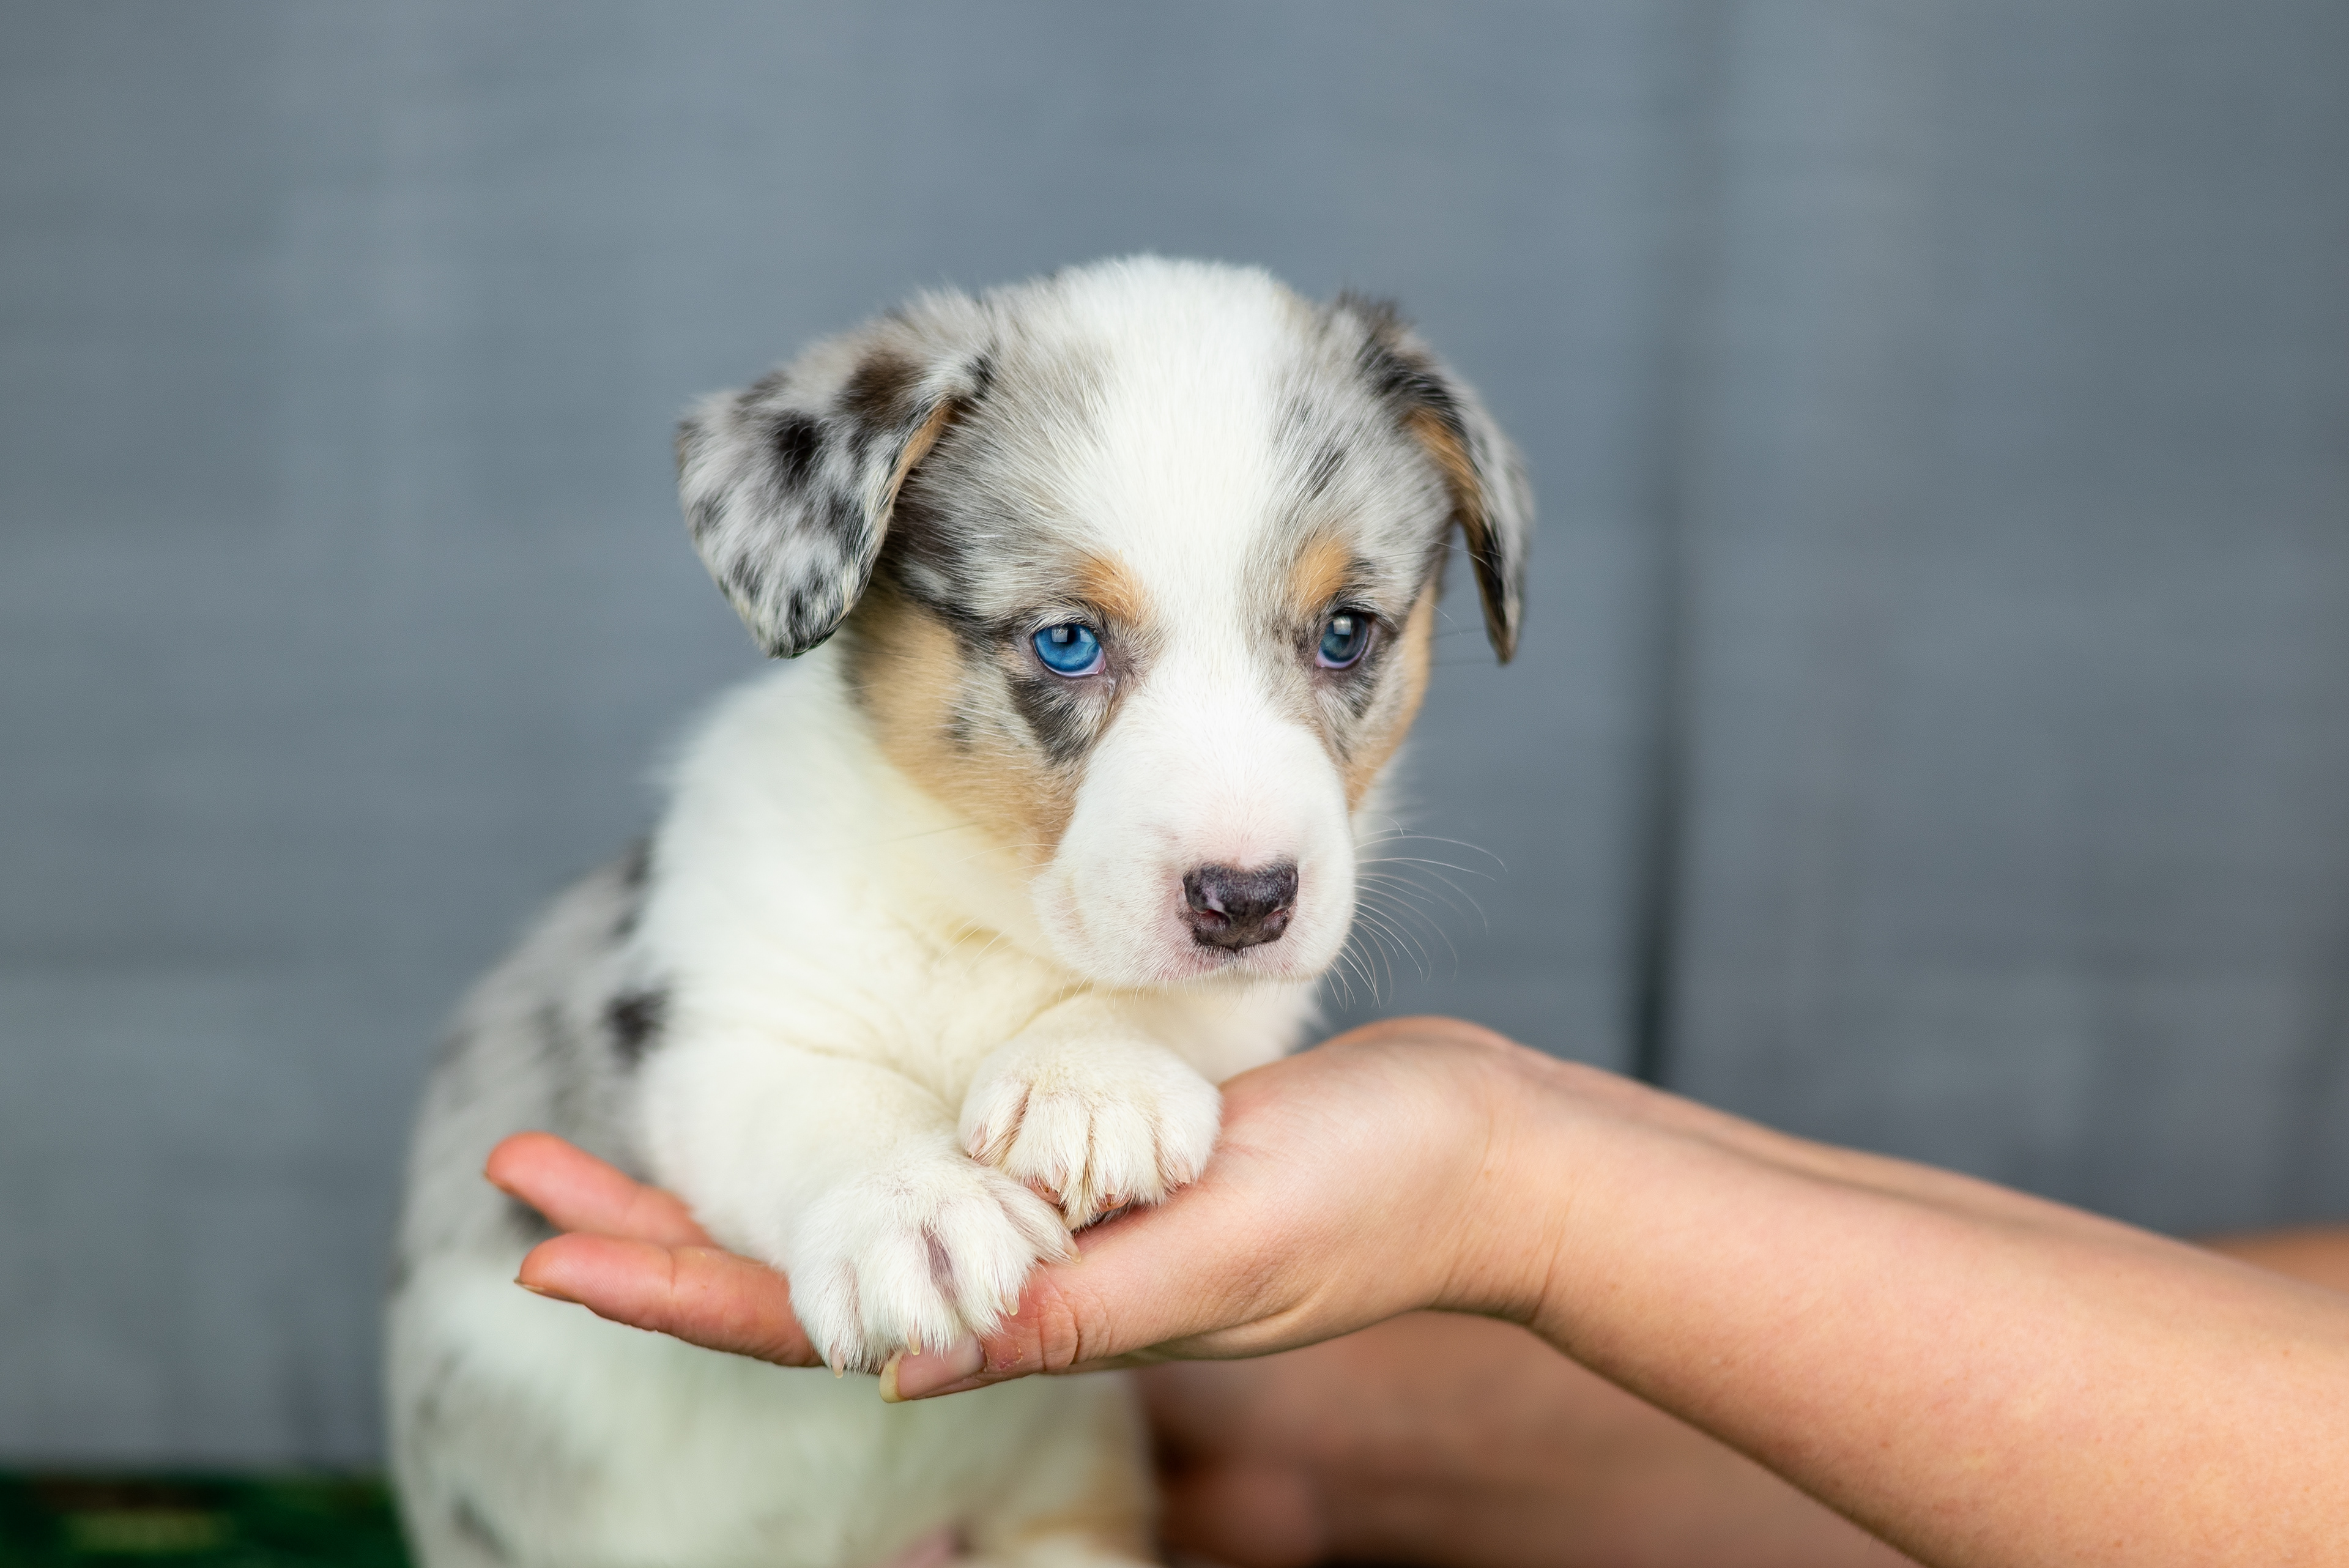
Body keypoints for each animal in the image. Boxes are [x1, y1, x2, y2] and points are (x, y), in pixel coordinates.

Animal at [387, 256, 1530, 1567]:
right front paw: (918, 1211)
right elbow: (823, 1092)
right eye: (1068, 641)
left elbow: (1163, 1005)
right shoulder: (704, 1018)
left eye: (1347, 633)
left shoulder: (1251, 995)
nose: (1247, 902)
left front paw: (1091, 1077)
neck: (983, 913)